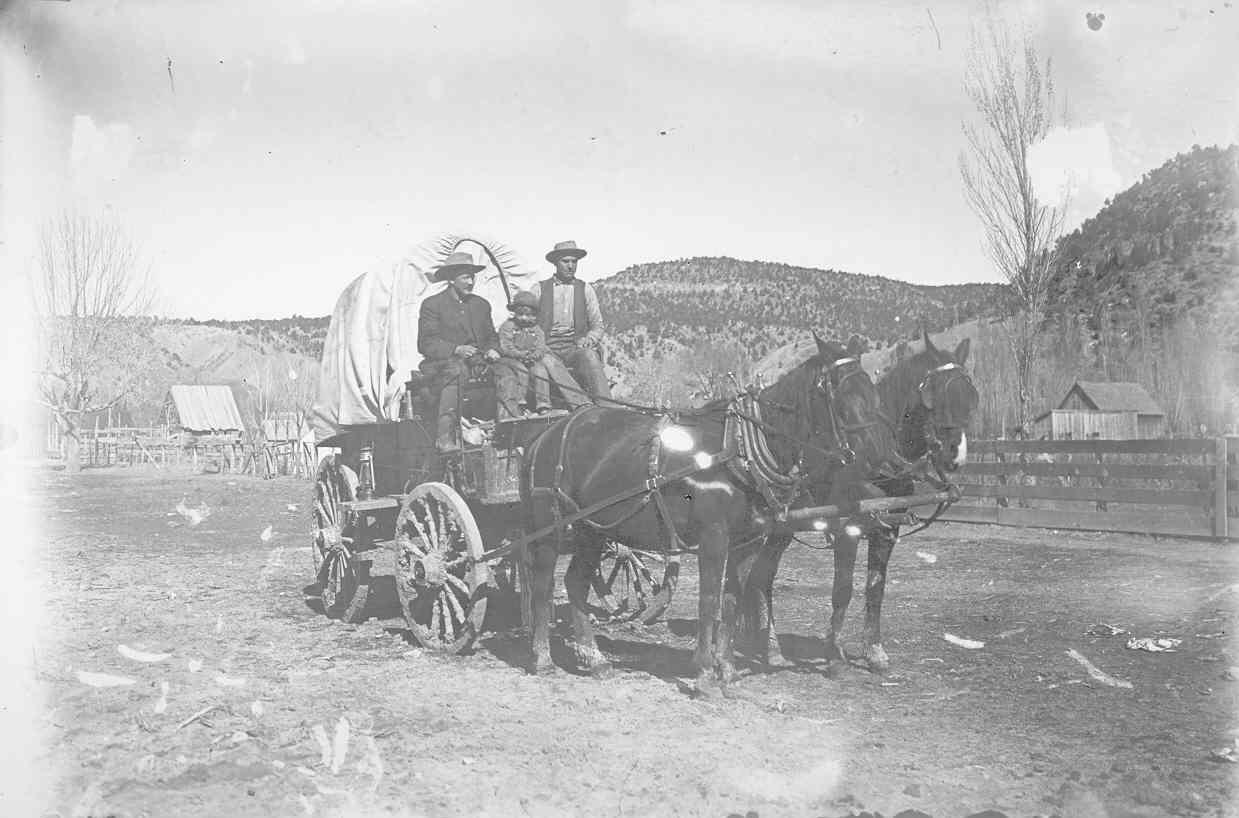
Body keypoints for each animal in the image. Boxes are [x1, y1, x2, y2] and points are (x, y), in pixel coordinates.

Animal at [520, 334, 901, 694]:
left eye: (871, 390)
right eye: (841, 395)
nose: (881, 458)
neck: (739, 452)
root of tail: (544, 436)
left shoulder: (747, 542)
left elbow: (732, 600)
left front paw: (727, 669)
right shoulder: (714, 537)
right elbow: (709, 602)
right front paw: (704, 673)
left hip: (593, 530)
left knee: (575, 582)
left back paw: (595, 659)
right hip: (551, 526)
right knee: (542, 583)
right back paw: (542, 658)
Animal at [733, 329, 976, 674]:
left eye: (970, 395)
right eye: (932, 395)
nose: (956, 455)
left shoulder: (887, 530)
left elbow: (876, 588)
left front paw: (874, 651)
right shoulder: (847, 529)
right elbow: (842, 590)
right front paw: (833, 654)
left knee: (753, 576)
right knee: (757, 578)